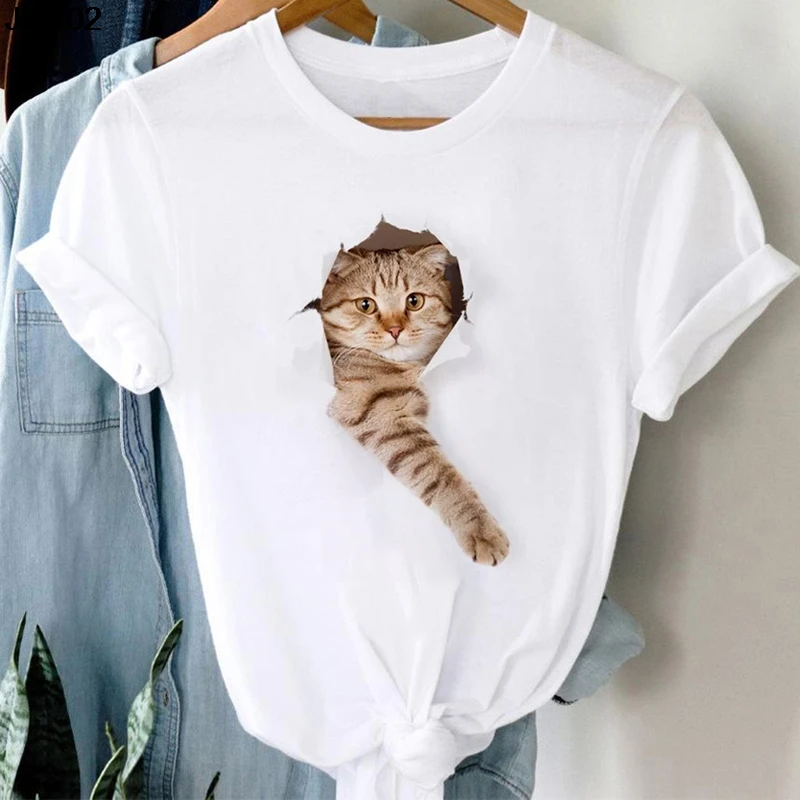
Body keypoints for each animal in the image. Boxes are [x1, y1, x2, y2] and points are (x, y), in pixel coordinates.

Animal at [311, 243, 509, 566]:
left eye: (414, 301)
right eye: (365, 305)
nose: (394, 330)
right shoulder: (385, 421)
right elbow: (440, 475)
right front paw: (480, 529)